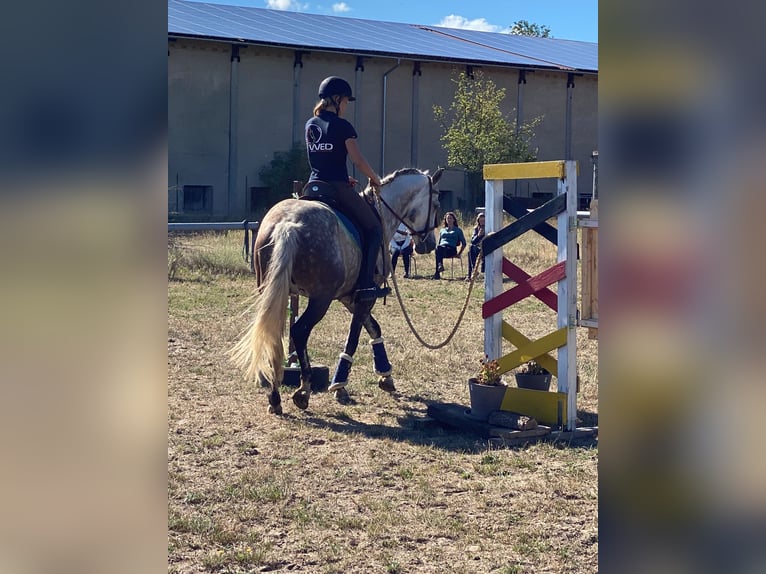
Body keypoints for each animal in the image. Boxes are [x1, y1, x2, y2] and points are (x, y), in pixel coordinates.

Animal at [231, 166, 444, 414]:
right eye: (436, 203)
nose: (428, 245)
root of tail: (288, 223)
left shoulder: (348, 298)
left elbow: (374, 329)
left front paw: (385, 376)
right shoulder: (364, 297)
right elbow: (355, 337)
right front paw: (340, 385)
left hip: (272, 292)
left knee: (274, 335)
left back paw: (274, 397)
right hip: (320, 299)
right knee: (299, 331)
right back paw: (303, 391)